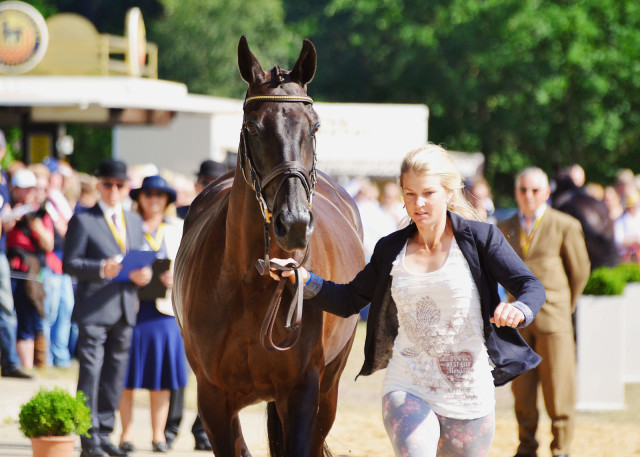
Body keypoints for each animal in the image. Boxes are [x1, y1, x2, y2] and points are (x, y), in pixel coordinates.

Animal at [172, 36, 364, 456]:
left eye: (314, 126)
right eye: (252, 127)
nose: (294, 223)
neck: (250, 285)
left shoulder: (302, 392)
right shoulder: (214, 401)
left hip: (329, 389)